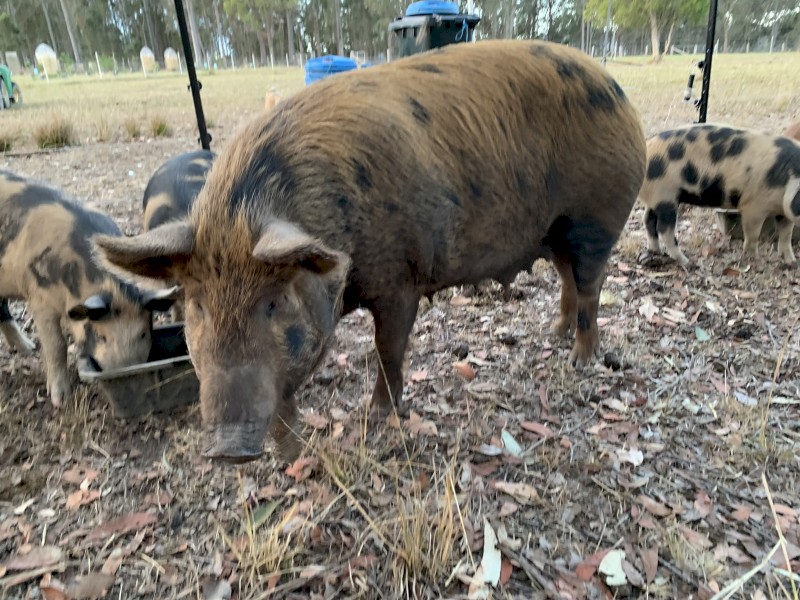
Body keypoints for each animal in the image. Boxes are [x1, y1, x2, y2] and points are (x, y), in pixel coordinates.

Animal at [0, 169, 178, 408]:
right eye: (102, 337)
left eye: (142, 334)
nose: (128, 373)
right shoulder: (38, 297)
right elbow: (56, 345)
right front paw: (60, 400)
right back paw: (31, 348)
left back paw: (28, 348)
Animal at [93, 39, 647, 463]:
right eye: (196, 306)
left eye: (273, 303)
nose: (230, 450)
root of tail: (619, 91)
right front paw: (290, 455)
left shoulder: (400, 277)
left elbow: (388, 348)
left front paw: (377, 417)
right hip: (553, 233)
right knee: (568, 279)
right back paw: (554, 334)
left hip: (597, 217)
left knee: (591, 287)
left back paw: (579, 360)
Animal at [639, 123, 800, 266]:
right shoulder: (753, 206)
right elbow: (753, 235)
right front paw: (754, 260)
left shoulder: (783, 210)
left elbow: (786, 234)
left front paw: (792, 262)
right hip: (665, 195)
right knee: (664, 230)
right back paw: (687, 262)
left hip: (656, 198)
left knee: (648, 220)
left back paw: (656, 252)